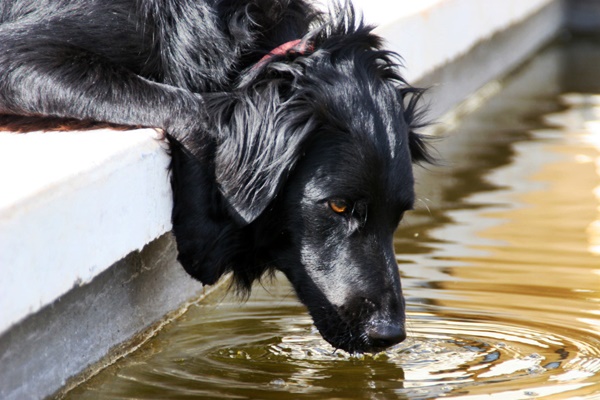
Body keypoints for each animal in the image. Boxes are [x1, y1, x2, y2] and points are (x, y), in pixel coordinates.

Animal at [1, 0, 432, 352]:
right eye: (338, 206)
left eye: (398, 216)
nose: (389, 334)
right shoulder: (18, 56)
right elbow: (195, 110)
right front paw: (202, 238)